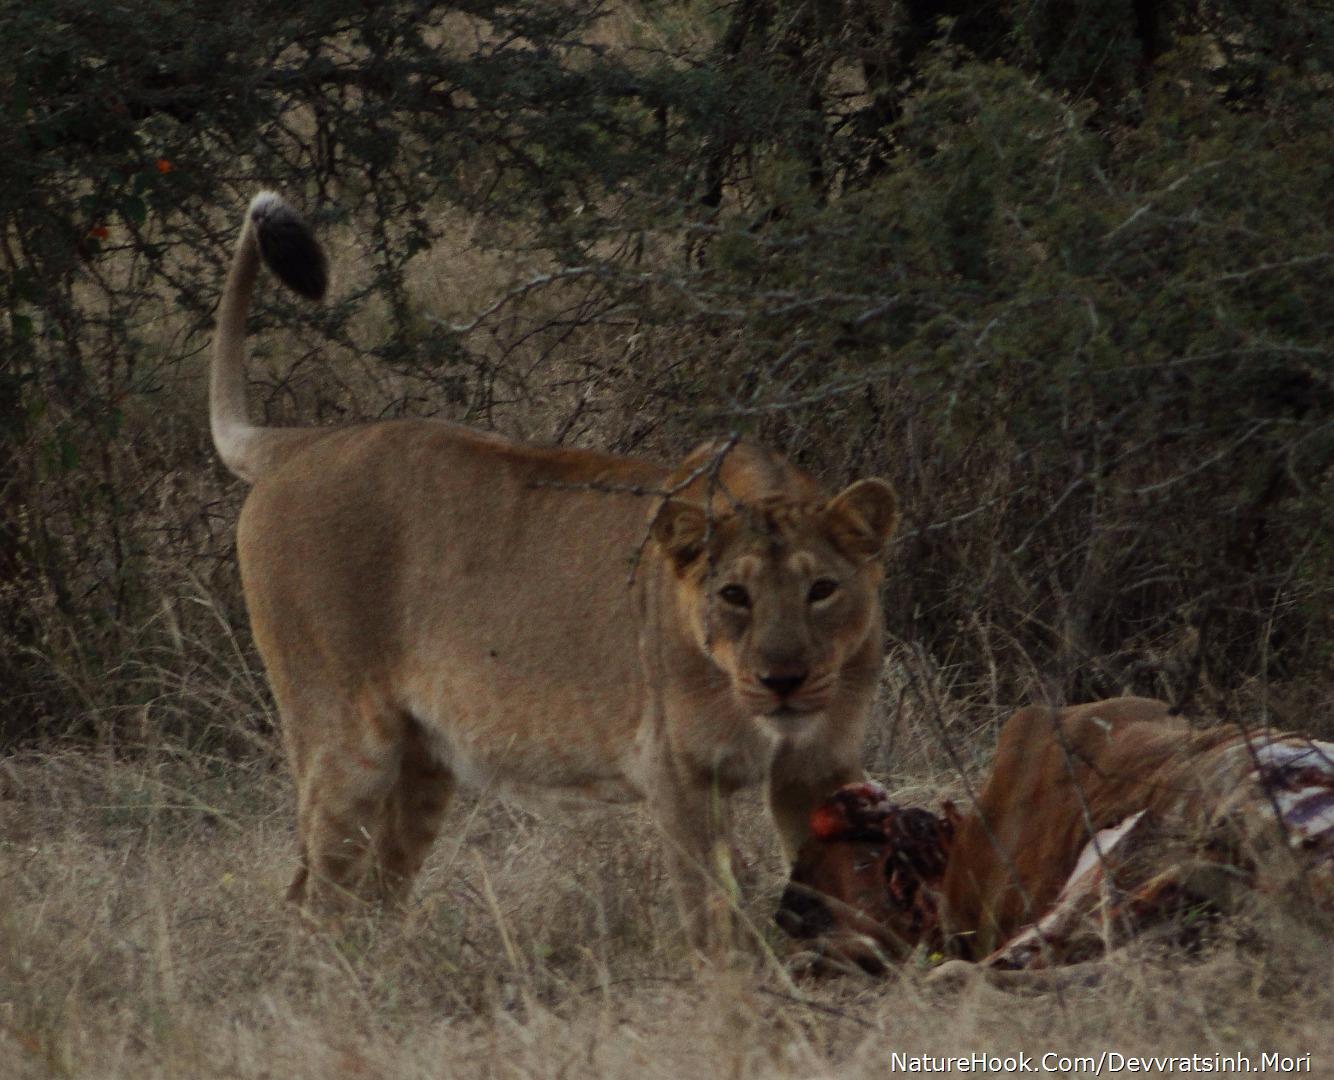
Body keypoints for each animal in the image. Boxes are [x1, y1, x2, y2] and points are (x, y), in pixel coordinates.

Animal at [210, 192, 896, 944]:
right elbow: (715, 917)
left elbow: (841, 894)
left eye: (822, 590)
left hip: (423, 762)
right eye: (734, 595)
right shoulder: (679, 774)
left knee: (378, 891)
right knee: (315, 895)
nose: (783, 681)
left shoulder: (820, 769)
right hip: (344, 739)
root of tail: (302, 444)